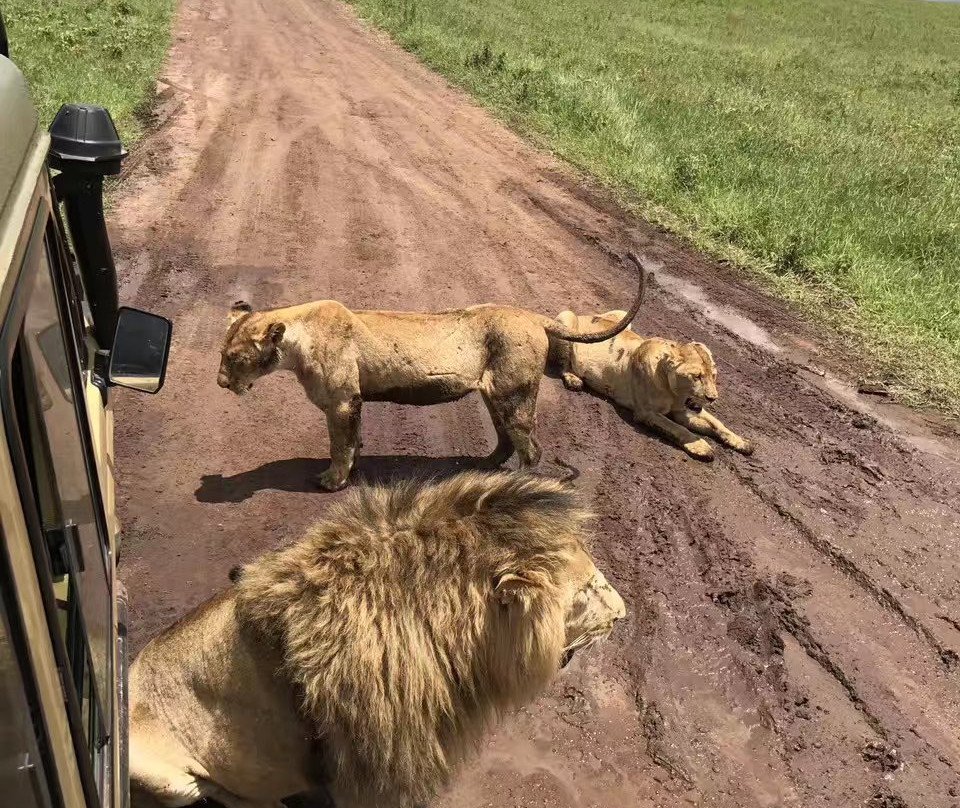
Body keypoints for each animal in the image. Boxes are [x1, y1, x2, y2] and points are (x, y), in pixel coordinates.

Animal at [216, 256, 645, 491]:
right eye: (222, 354)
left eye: (236, 359)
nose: (221, 382)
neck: (297, 338)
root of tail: (532, 316)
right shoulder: (352, 402)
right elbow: (353, 441)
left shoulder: (341, 401)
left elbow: (340, 445)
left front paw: (333, 481)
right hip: (495, 395)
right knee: (506, 440)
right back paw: (485, 466)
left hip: (514, 395)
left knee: (531, 449)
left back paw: (512, 483)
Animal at [551, 309, 754, 461]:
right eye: (696, 376)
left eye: (714, 376)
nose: (712, 398)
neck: (675, 394)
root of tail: (584, 315)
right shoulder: (646, 413)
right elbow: (677, 428)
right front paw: (701, 446)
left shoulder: (683, 410)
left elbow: (716, 423)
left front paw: (741, 441)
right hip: (566, 319)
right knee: (563, 363)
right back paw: (573, 378)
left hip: (622, 316)